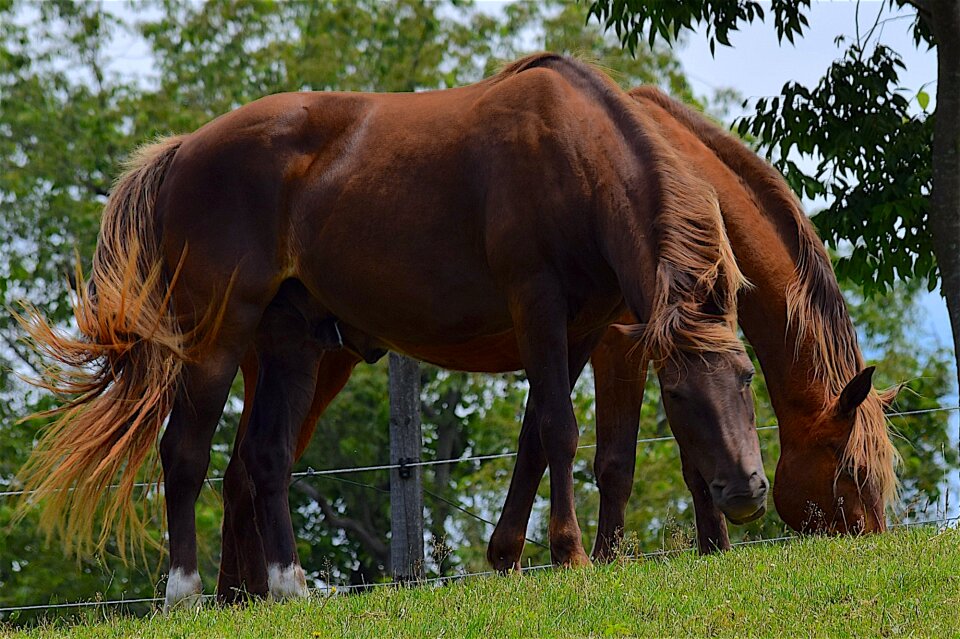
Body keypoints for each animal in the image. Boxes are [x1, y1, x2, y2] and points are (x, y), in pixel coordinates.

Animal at [16, 53, 764, 608]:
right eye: (678, 394)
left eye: (746, 378)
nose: (748, 491)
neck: (575, 155)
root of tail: (181, 151)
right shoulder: (539, 309)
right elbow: (559, 429)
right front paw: (569, 553)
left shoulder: (578, 329)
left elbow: (531, 437)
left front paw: (508, 555)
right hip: (216, 337)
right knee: (185, 454)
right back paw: (185, 595)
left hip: (291, 345)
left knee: (265, 457)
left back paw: (289, 588)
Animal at [218, 86, 900, 600]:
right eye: (850, 468)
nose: (873, 536)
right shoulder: (621, 345)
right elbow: (617, 458)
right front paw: (612, 554)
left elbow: (549, 438)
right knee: (244, 467)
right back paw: (244, 593)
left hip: (312, 361)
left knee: (242, 468)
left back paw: (241, 594)